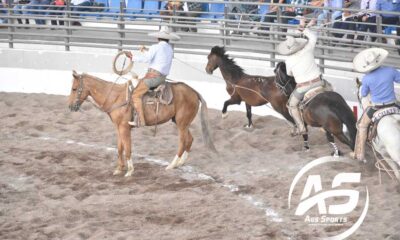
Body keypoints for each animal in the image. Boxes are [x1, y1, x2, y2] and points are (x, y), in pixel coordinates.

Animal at [67, 70, 216, 177]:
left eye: (74, 89)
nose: (70, 107)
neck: (115, 97)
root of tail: (193, 91)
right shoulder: (118, 127)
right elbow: (120, 148)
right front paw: (119, 169)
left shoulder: (124, 128)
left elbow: (128, 148)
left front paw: (129, 170)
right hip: (182, 123)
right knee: (190, 139)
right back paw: (180, 163)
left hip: (181, 123)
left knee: (183, 141)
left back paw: (172, 165)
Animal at [206, 46, 356, 156]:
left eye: (209, 58)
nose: (207, 70)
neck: (236, 79)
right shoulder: (247, 102)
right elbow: (248, 114)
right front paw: (249, 126)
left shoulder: (236, 99)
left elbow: (225, 103)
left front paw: (224, 115)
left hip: (280, 108)